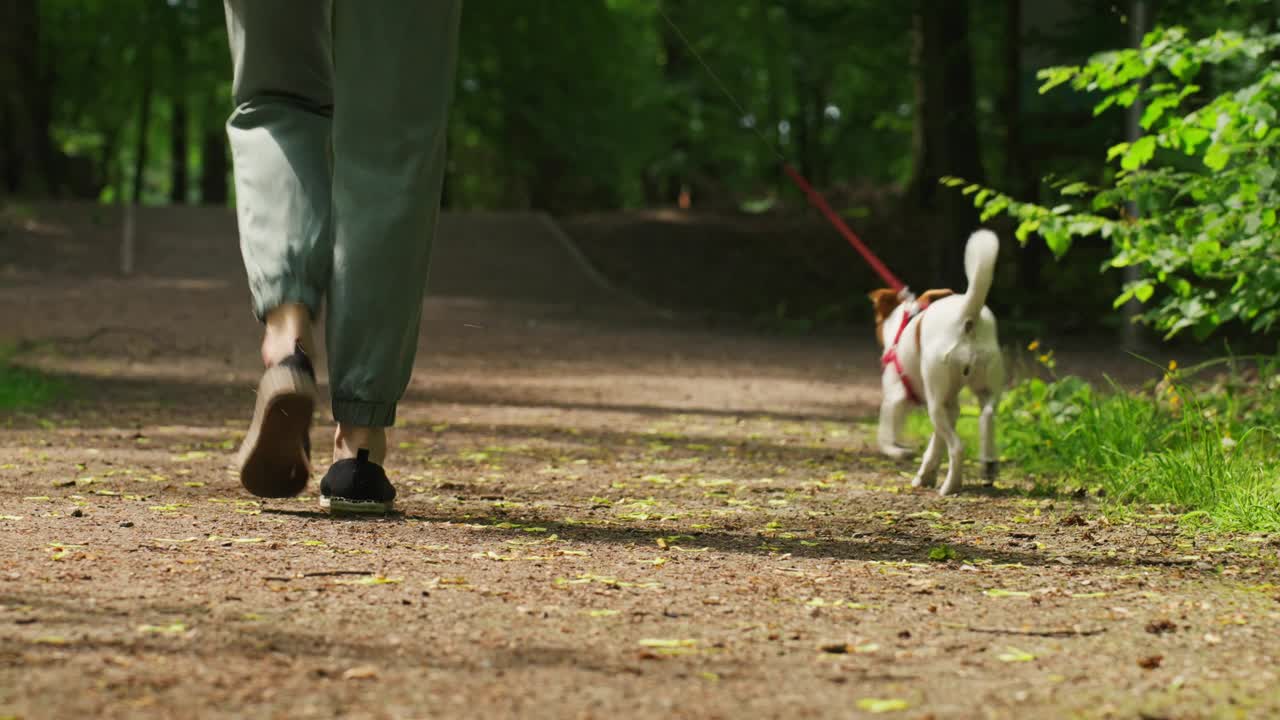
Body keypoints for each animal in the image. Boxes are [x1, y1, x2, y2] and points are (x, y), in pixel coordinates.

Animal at [865, 228, 1003, 491]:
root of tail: (967, 315)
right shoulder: (950, 405)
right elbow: (936, 443)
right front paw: (926, 472)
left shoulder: (895, 398)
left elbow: (885, 436)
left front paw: (900, 453)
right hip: (984, 388)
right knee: (988, 415)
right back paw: (988, 465)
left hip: (935, 400)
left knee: (958, 448)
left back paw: (951, 486)